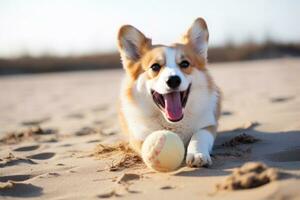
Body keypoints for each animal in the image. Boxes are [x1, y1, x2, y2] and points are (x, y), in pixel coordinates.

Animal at [116, 17, 220, 167]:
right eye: (155, 67)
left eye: (185, 64)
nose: (173, 80)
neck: (173, 123)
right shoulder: (138, 135)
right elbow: (146, 142)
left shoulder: (208, 125)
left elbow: (199, 135)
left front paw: (197, 154)